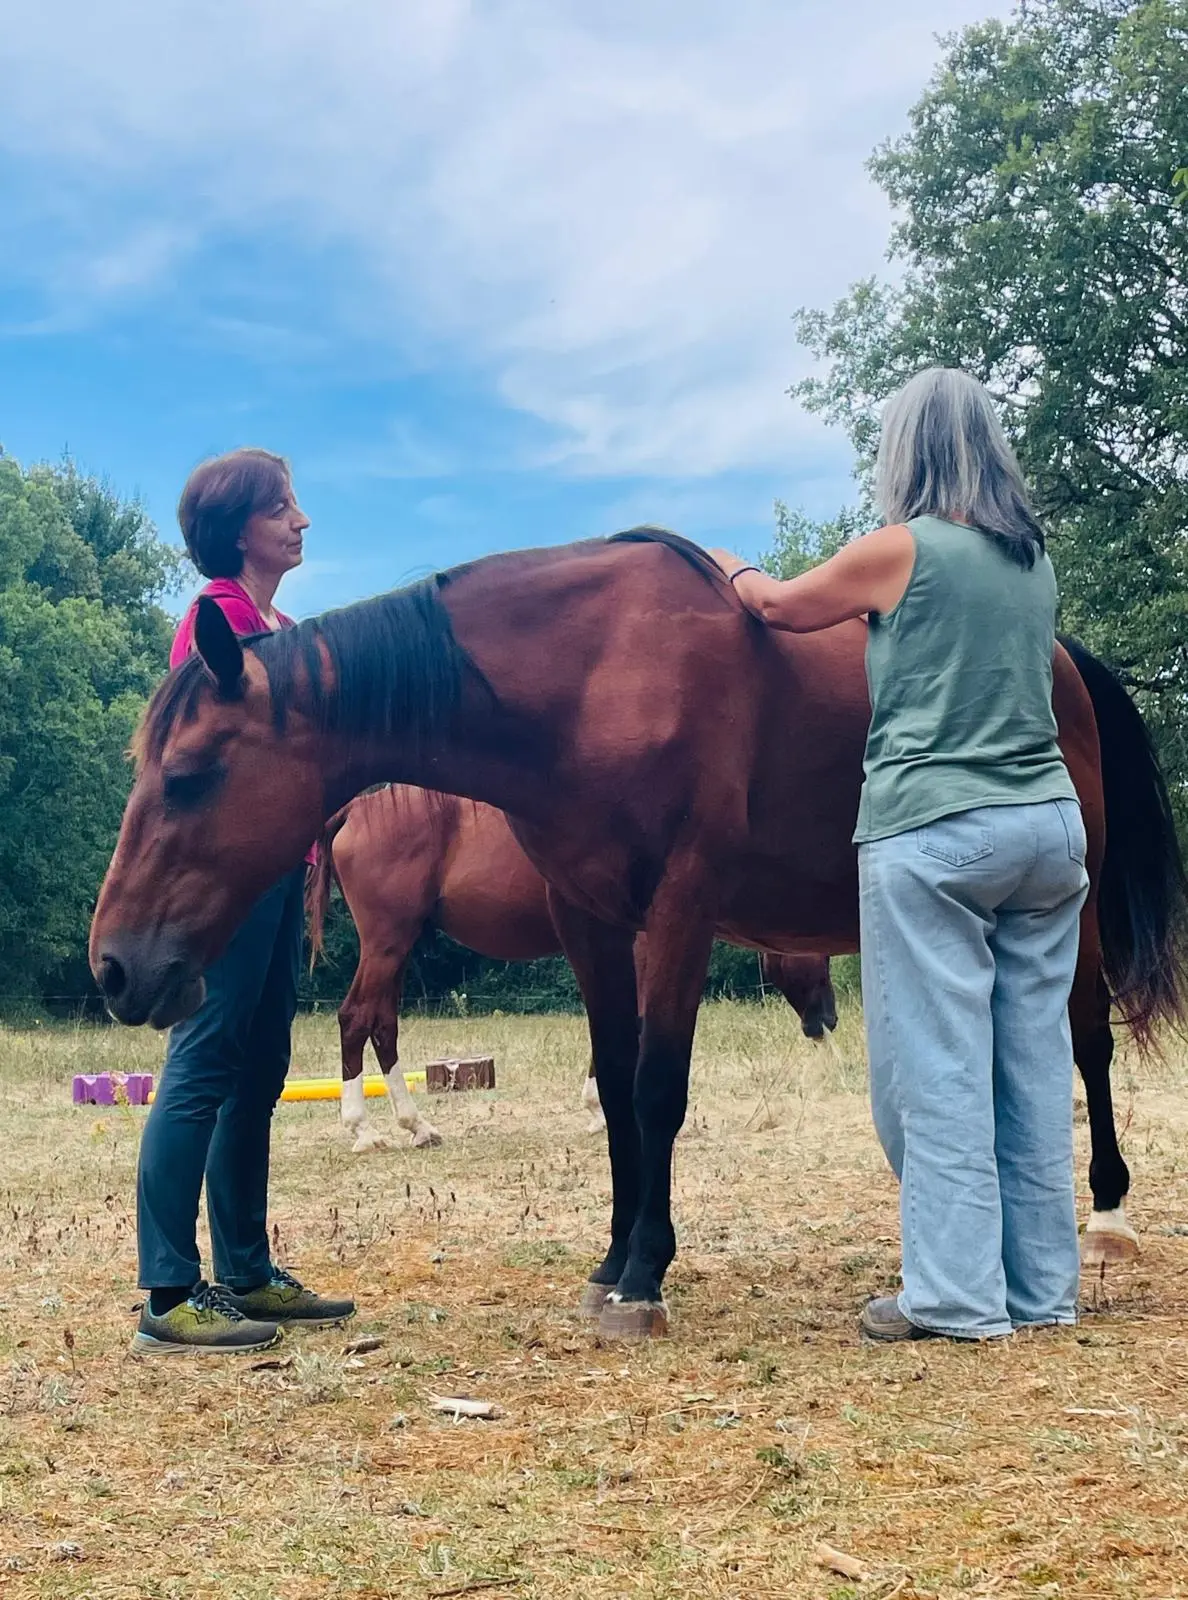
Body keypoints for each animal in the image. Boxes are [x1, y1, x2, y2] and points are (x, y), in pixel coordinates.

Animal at [306, 785, 838, 1152]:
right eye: (820, 951)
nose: (828, 1020)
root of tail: (359, 810)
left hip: (396, 946)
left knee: (383, 1025)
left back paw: (417, 1126)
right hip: (386, 944)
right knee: (356, 1018)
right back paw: (363, 1130)